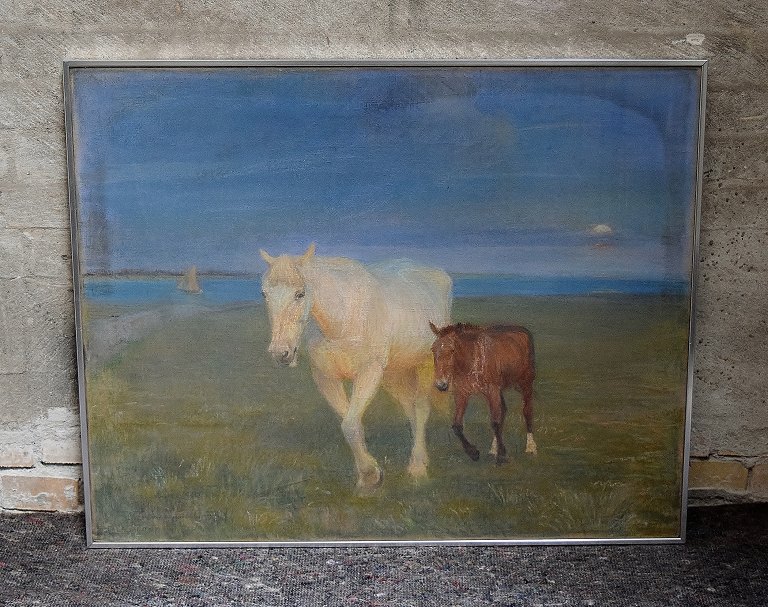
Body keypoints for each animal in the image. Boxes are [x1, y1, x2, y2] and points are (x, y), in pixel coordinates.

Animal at [259, 244, 452, 491]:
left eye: (300, 294)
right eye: (264, 294)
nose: (280, 352)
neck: (343, 318)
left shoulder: (369, 372)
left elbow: (350, 425)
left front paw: (371, 476)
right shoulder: (326, 378)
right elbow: (351, 424)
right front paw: (368, 475)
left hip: (425, 364)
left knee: (420, 408)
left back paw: (417, 467)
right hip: (394, 373)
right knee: (409, 408)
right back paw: (422, 458)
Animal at [429, 322, 537, 465]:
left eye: (452, 350)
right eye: (433, 349)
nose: (441, 384)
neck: (471, 360)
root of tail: (522, 330)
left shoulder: (492, 390)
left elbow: (495, 423)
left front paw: (501, 456)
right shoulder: (462, 394)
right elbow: (457, 426)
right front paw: (474, 453)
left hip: (525, 383)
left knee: (527, 410)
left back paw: (531, 447)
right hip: (498, 390)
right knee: (503, 411)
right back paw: (493, 449)